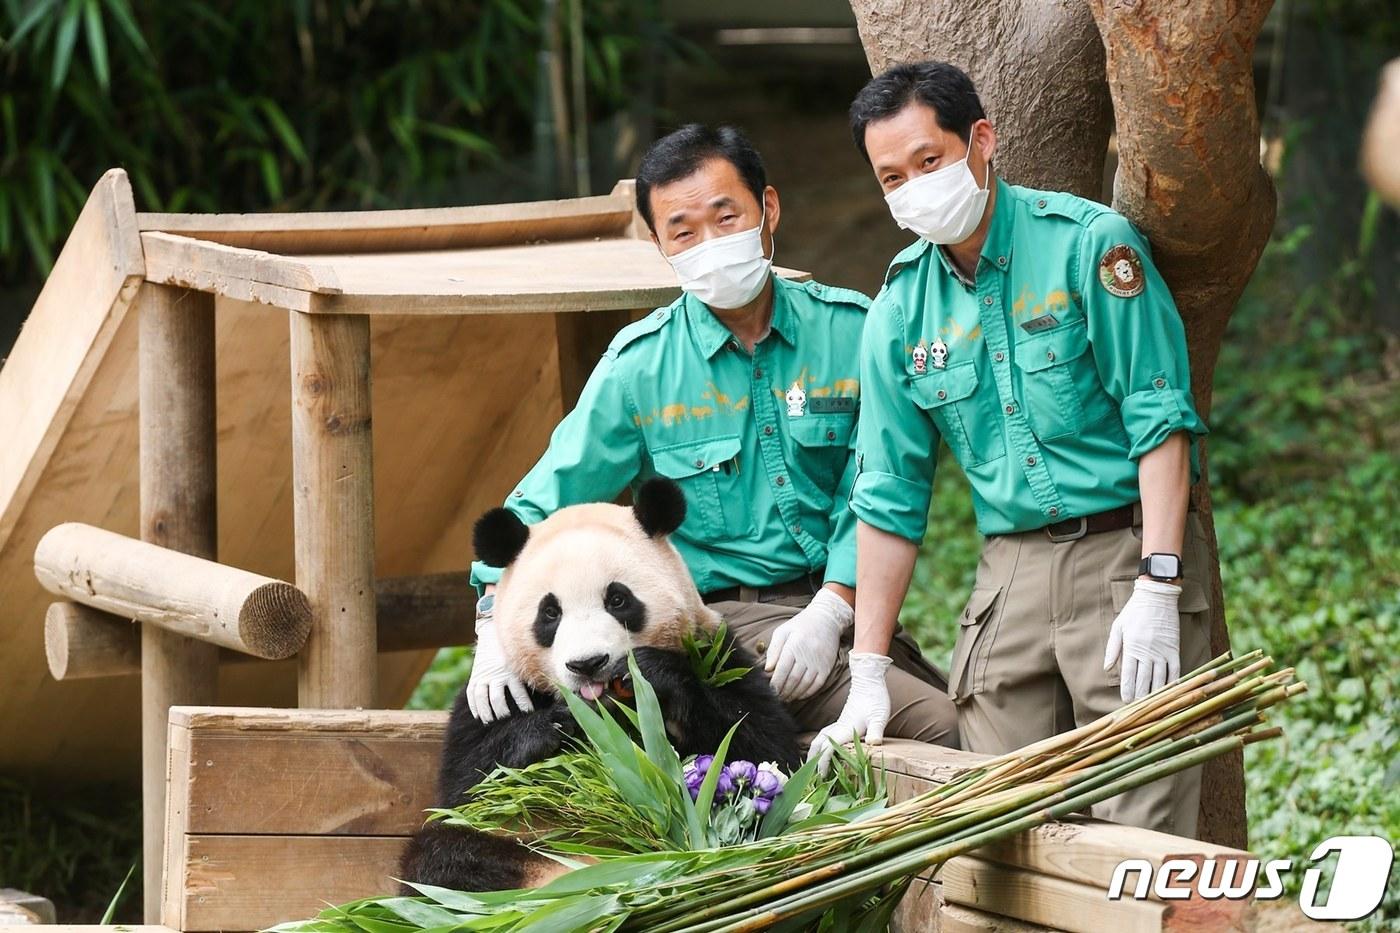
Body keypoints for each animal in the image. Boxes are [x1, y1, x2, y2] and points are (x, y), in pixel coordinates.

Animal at [400, 476, 806, 890]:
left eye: (617, 599)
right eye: (550, 612)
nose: (588, 664)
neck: (612, 706)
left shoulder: (716, 653)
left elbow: (762, 748)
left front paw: (654, 673)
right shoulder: (497, 696)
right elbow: (467, 783)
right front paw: (559, 721)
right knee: (446, 851)